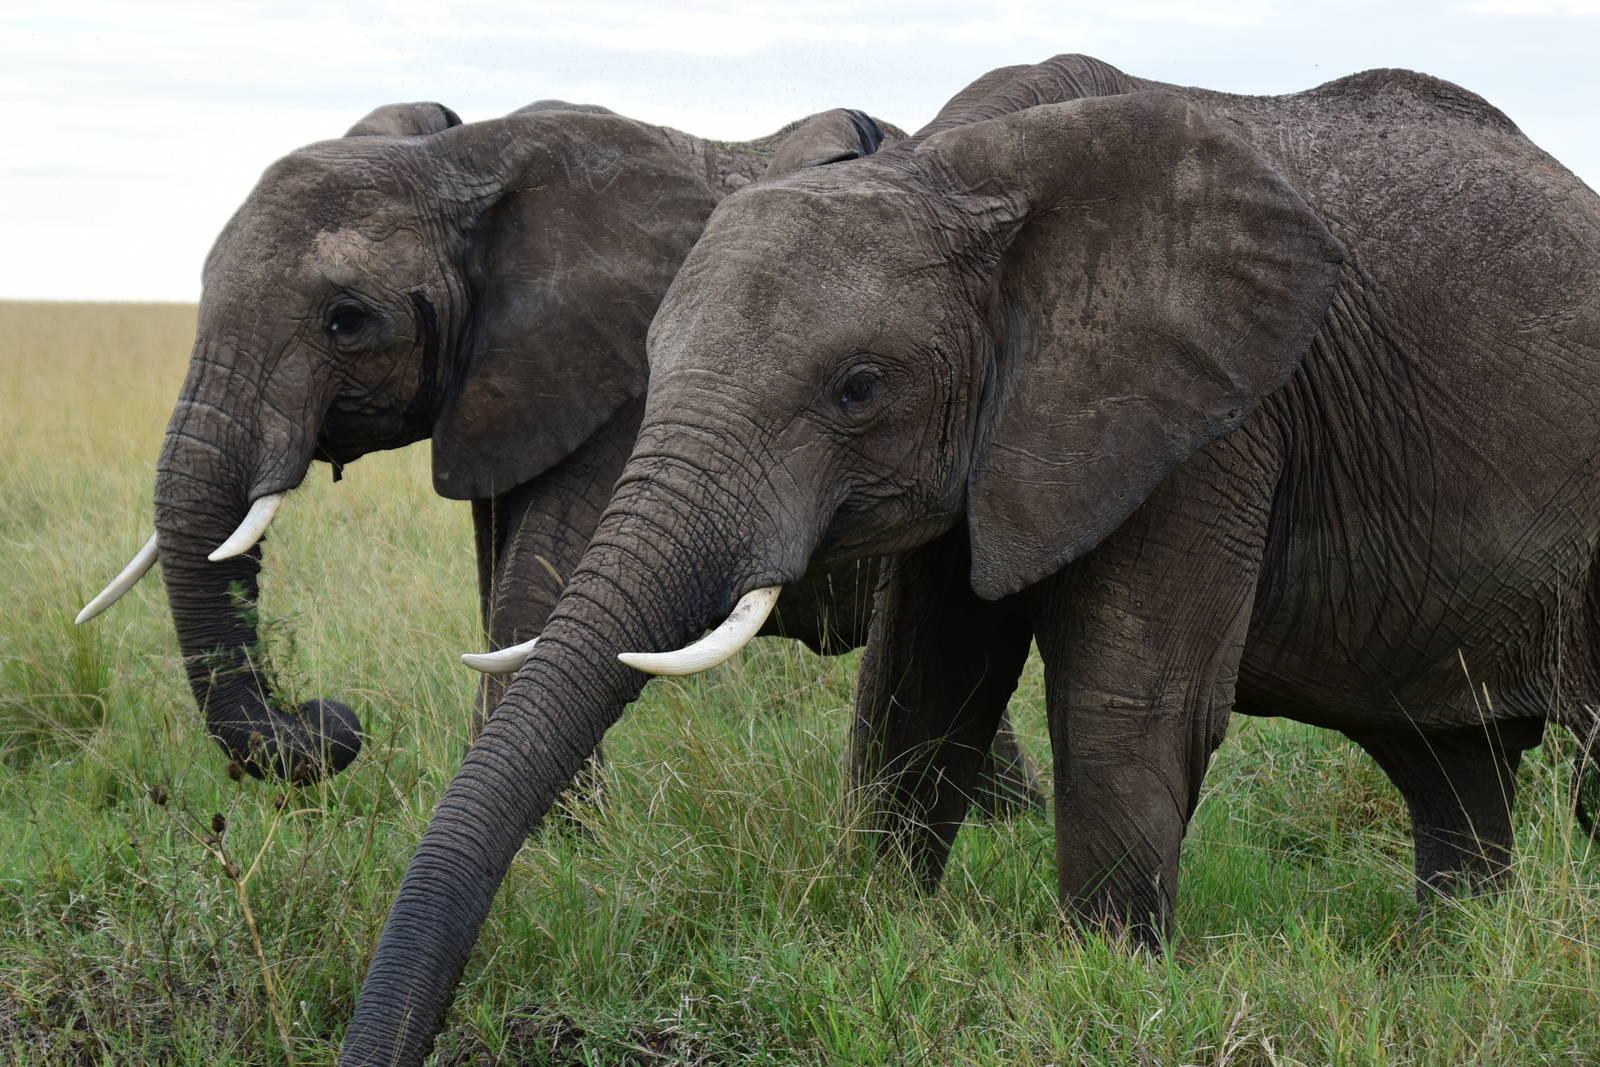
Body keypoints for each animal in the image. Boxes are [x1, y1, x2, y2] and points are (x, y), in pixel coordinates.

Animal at [75, 95, 1046, 808]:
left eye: (346, 320)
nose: (330, 721)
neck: (464, 161)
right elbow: (504, 590)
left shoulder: (628, 384)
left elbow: (532, 595)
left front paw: (568, 841)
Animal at [339, 53, 1600, 1065]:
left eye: (857, 388)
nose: (392, 1042)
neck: (955, 174)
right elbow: (915, 693)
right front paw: (874, 929)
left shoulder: (1212, 419)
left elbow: (1130, 705)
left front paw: (1111, 989)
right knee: (1450, 767)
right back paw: (1452, 956)